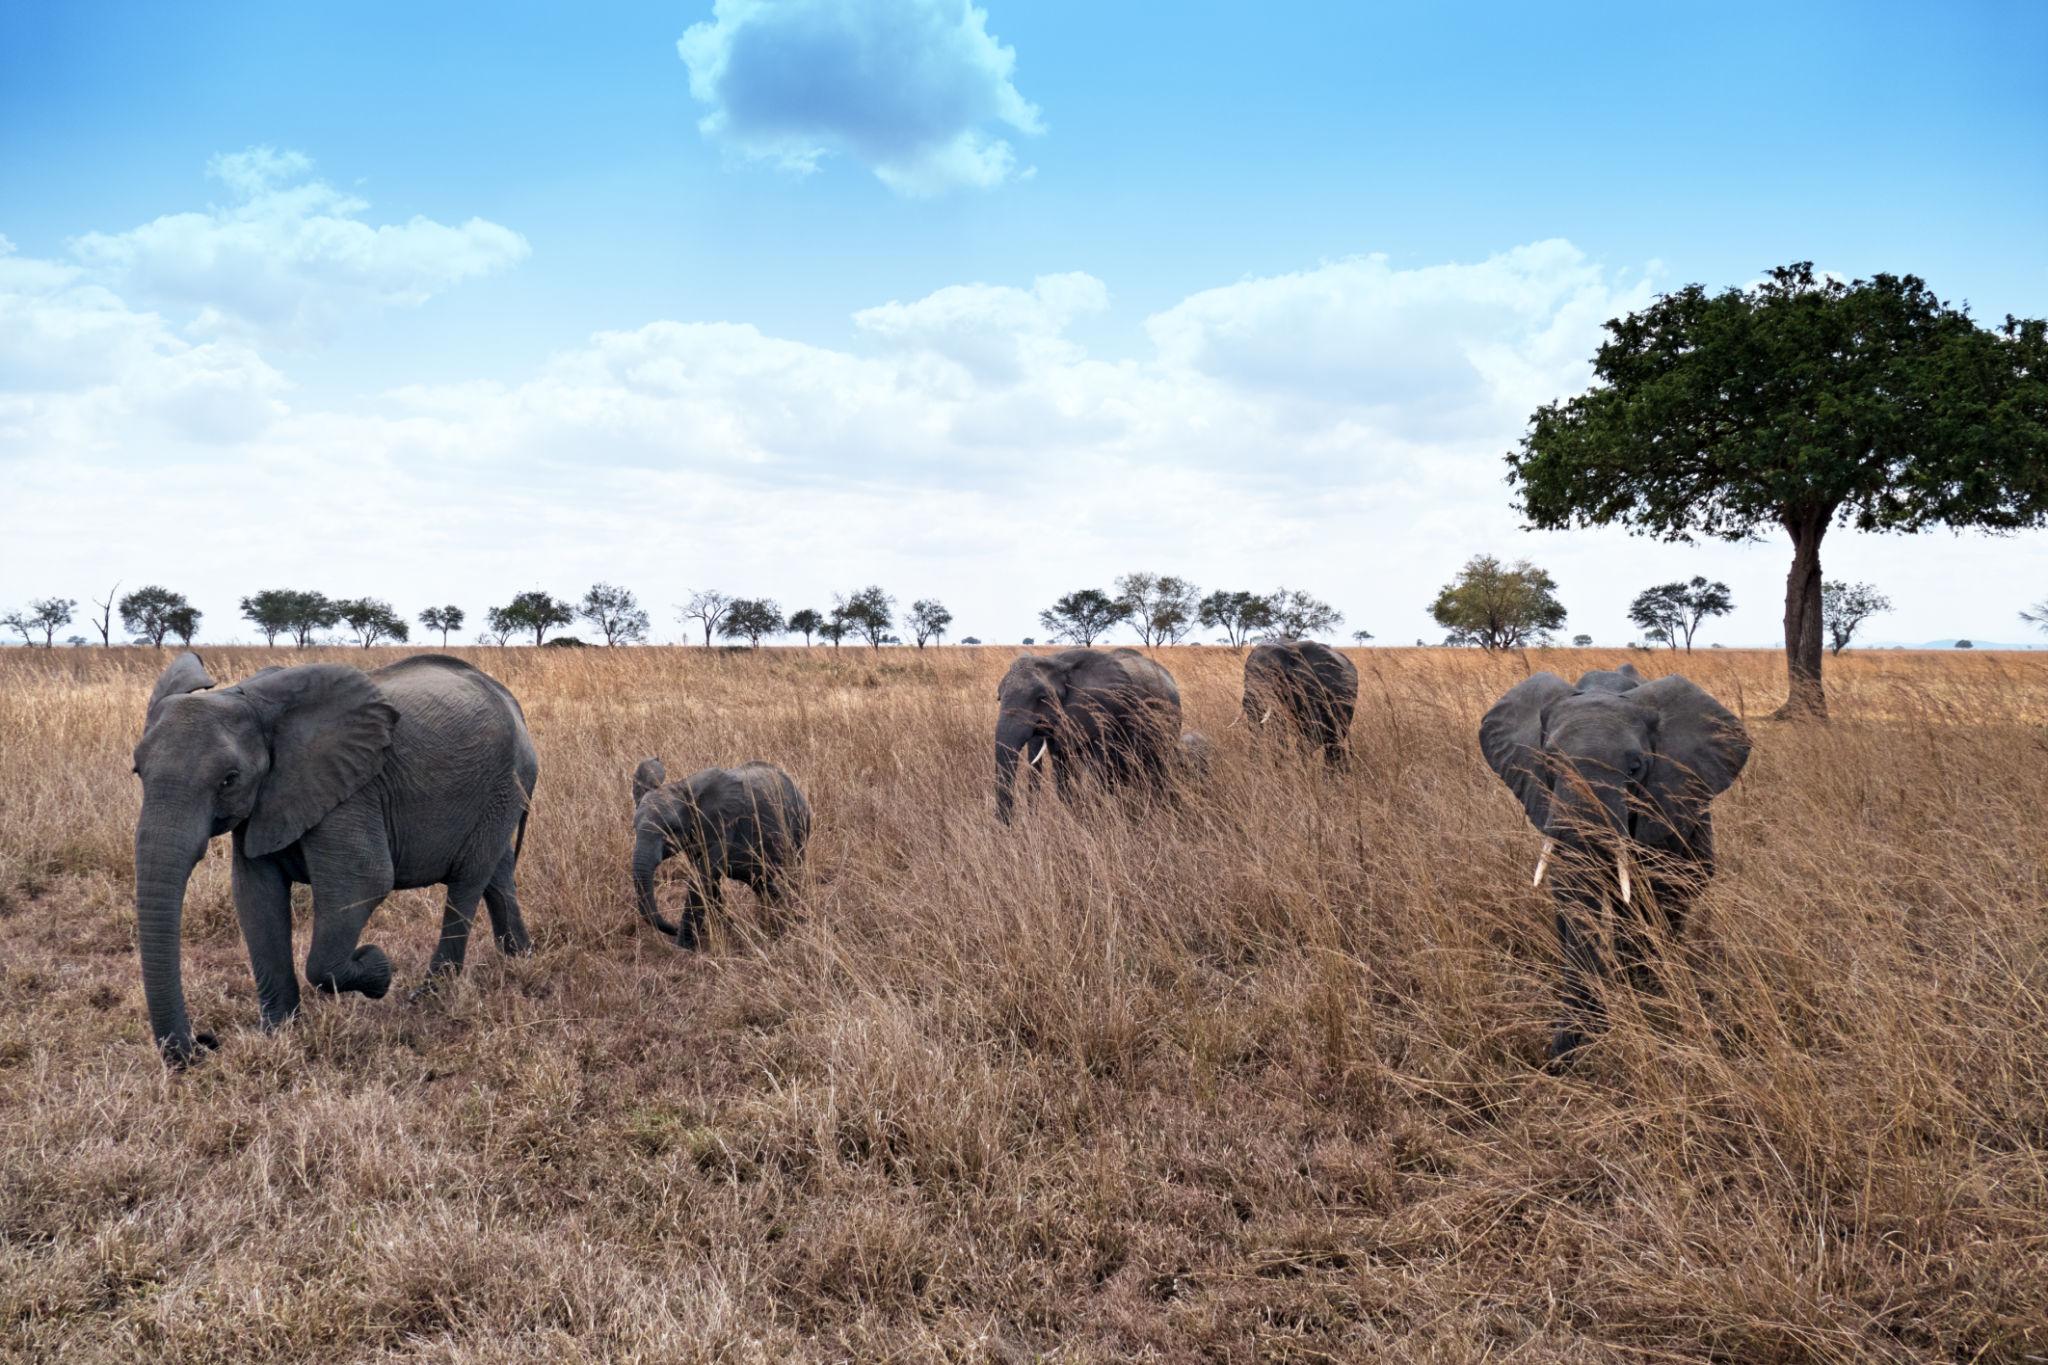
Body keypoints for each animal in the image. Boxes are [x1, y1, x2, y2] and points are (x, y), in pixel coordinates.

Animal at [131, 652, 537, 1066]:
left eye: (229, 779)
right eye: (137, 771)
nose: (205, 1043)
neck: (248, 701)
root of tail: (509, 700)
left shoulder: (351, 789)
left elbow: (363, 881)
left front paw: (378, 968)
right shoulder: (266, 800)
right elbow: (256, 896)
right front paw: (278, 1033)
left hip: (503, 783)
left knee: (468, 879)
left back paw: (429, 994)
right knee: (497, 873)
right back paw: (518, 958)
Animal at [630, 758, 811, 950]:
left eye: (672, 829)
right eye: (634, 828)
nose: (673, 927)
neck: (684, 788)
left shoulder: (723, 827)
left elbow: (702, 878)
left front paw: (683, 948)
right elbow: (708, 880)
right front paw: (726, 930)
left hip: (799, 829)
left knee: (793, 873)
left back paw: (794, 916)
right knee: (759, 880)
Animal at [995, 647, 1183, 823]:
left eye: (1042, 698)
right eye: (999, 697)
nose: (1009, 827)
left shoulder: (1101, 714)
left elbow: (1097, 773)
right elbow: (1062, 772)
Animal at [1479, 663, 1750, 1063]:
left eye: (1636, 768)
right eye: (1548, 763)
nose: (1553, 1062)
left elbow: (1648, 896)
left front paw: (1633, 996)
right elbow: (1571, 895)